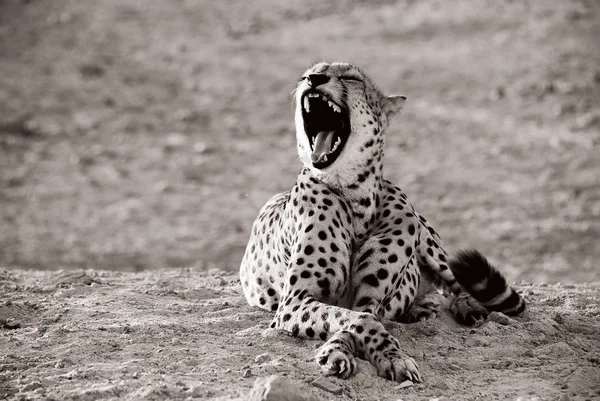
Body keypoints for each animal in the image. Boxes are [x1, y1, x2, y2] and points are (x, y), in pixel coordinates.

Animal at [239, 61, 524, 382]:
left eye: (351, 78)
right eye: (305, 74)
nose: (313, 79)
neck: (354, 196)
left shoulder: (367, 300)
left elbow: (360, 317)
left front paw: (385, 355)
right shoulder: (295, 301)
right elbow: (354, 319)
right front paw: (342, 354)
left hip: (422, 232)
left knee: (455, 284)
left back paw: (462, 306)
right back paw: (419, 308)